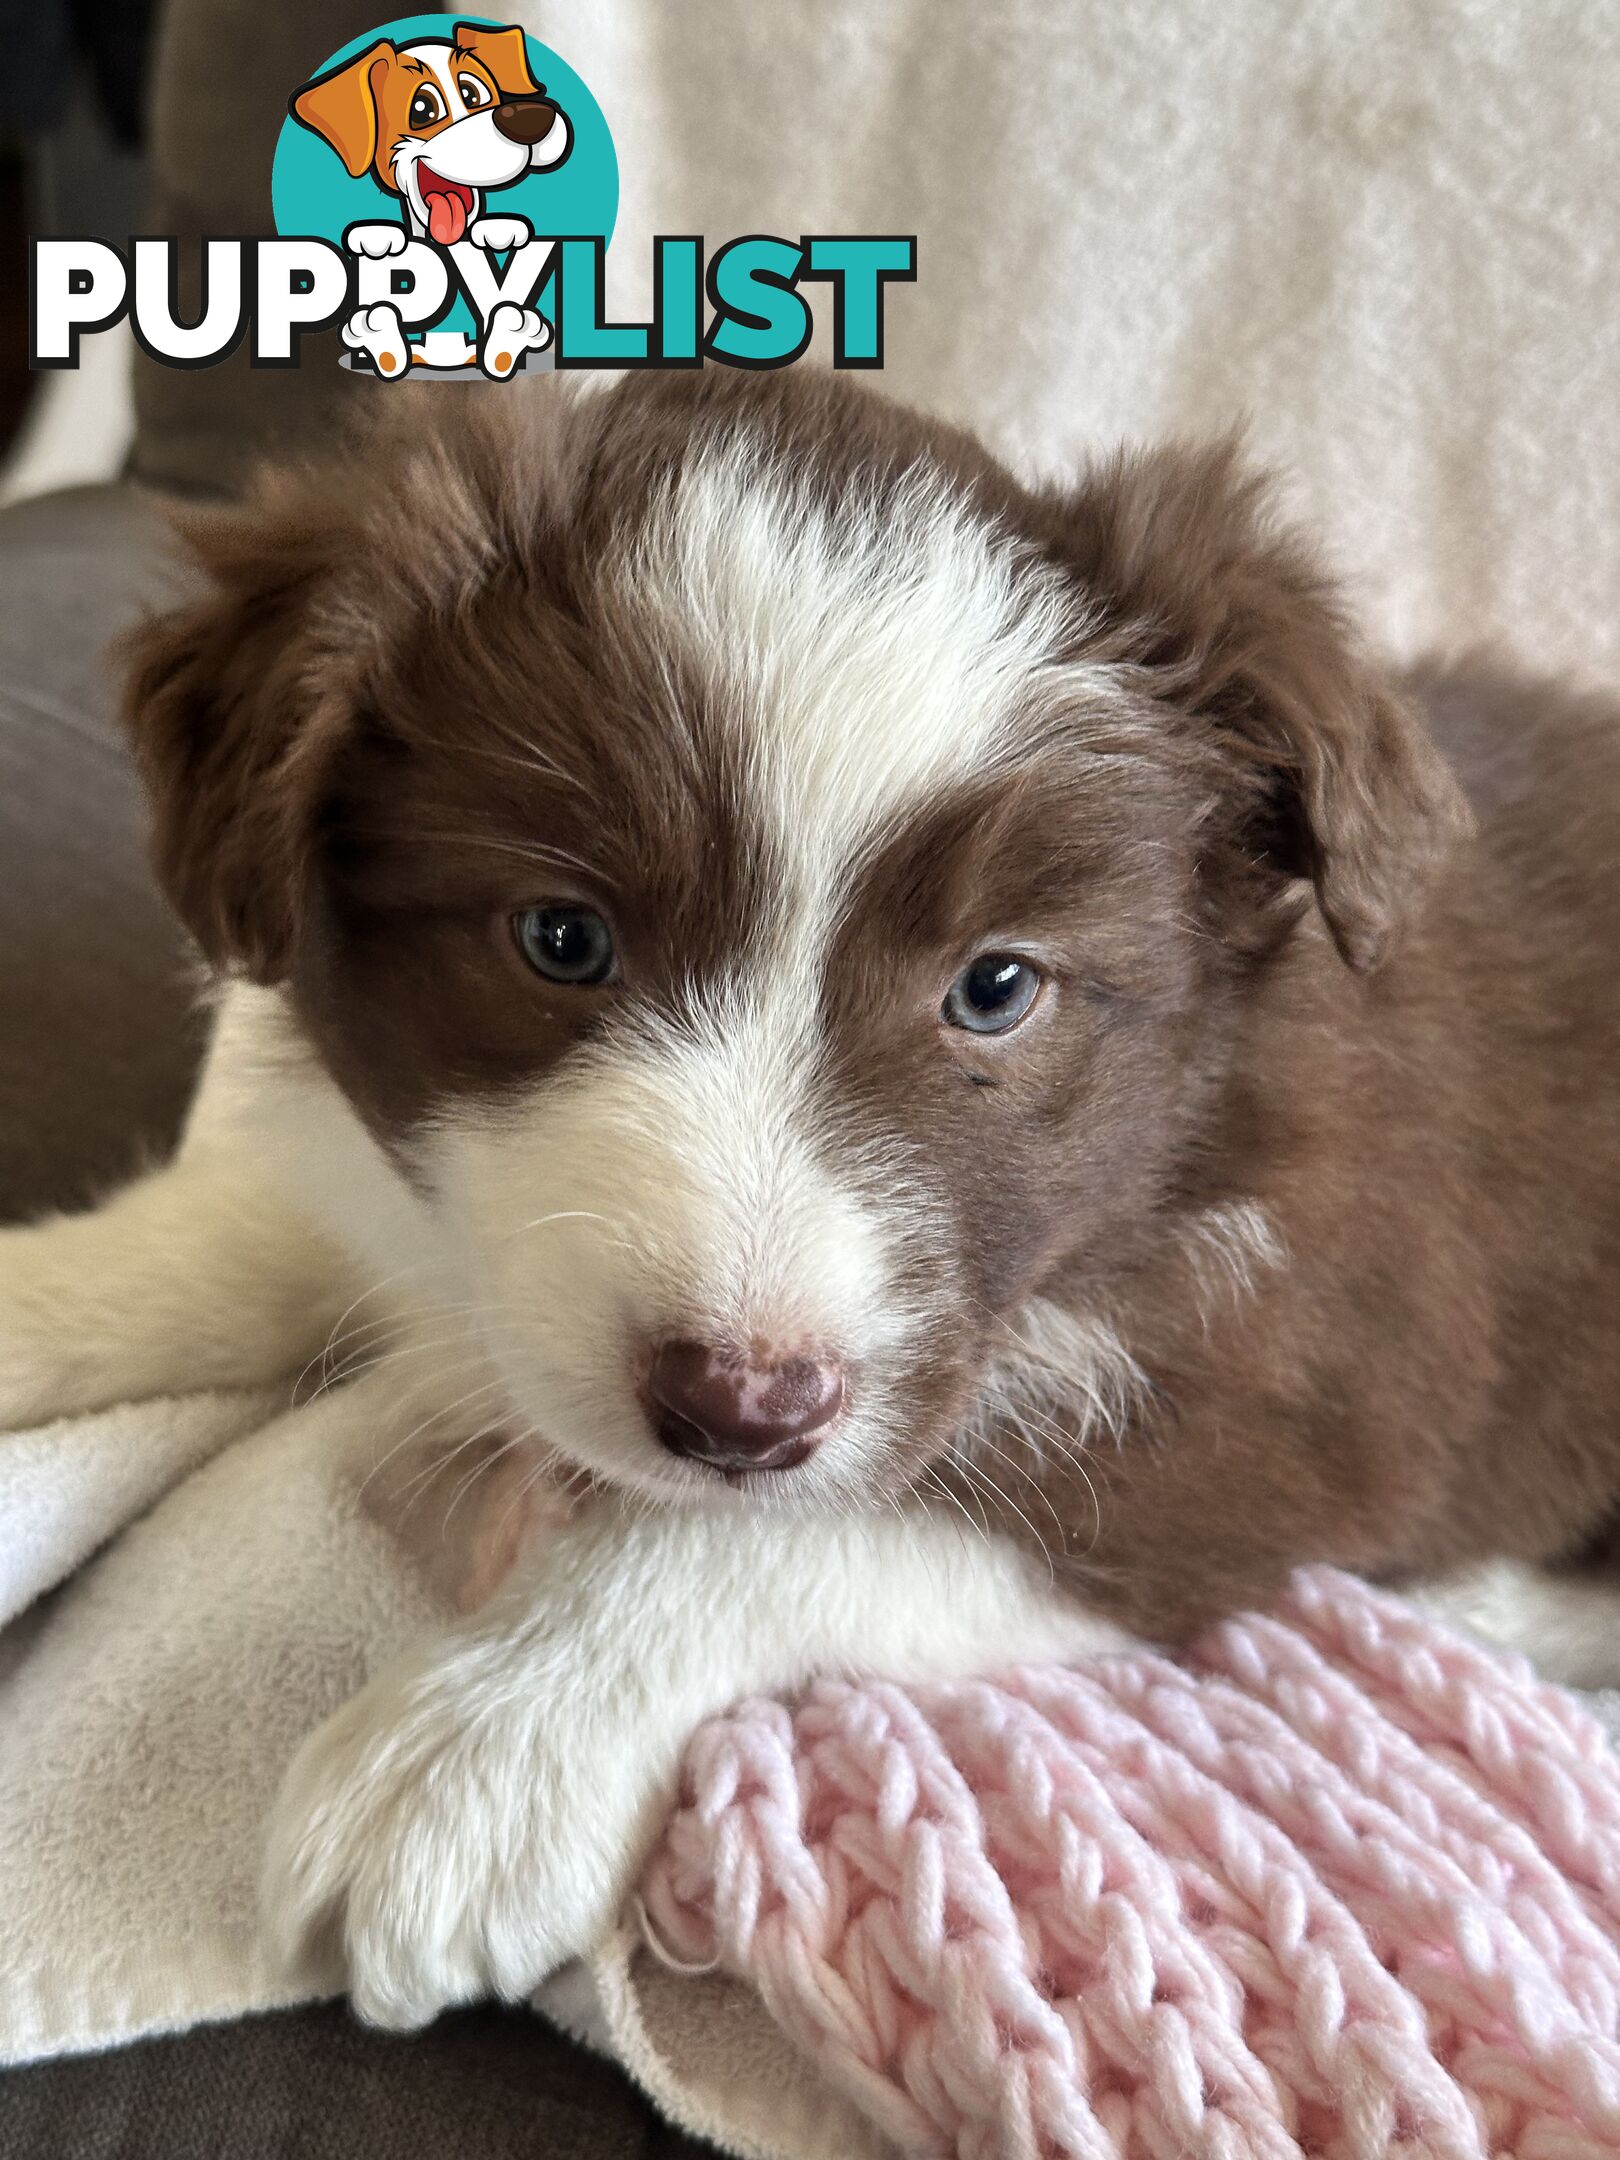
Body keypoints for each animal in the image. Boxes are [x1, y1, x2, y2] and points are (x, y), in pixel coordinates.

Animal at [3, 367, 1620, 2021]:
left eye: (997, 988)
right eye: (562, 937)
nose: (741, 1410)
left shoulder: (1281, 1403)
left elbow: (777, 1532)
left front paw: (476, 1758)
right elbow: (261, 1239)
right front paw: (45, 1304)